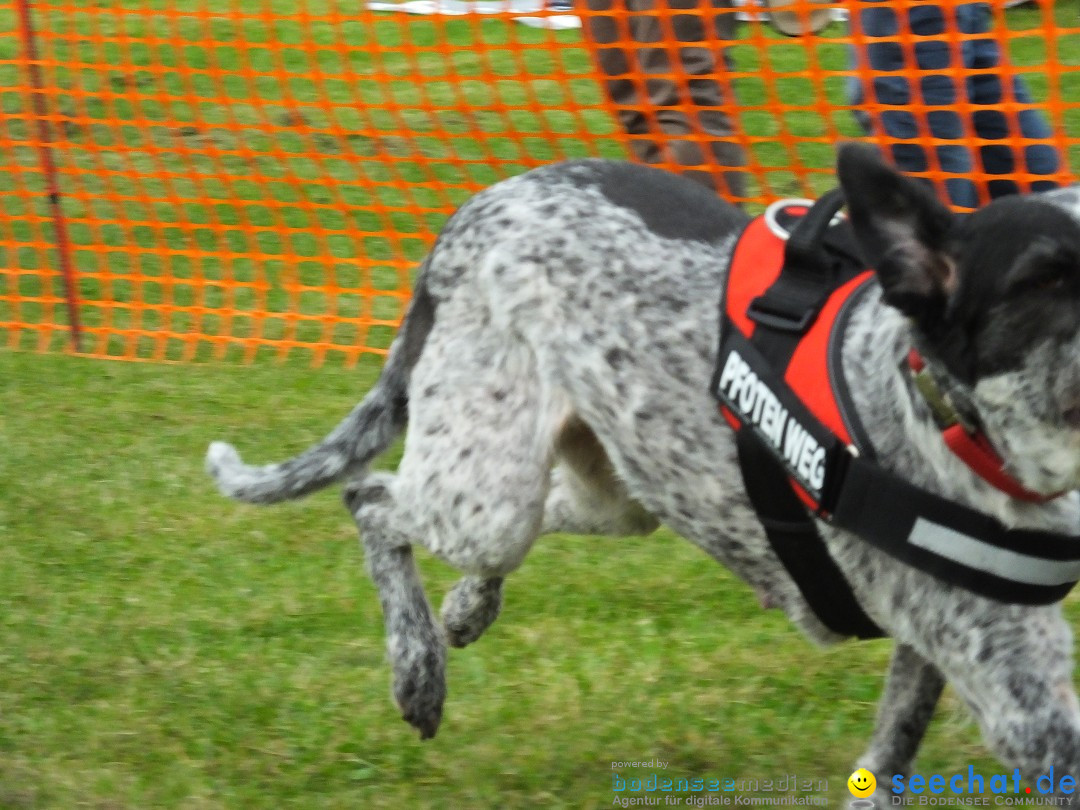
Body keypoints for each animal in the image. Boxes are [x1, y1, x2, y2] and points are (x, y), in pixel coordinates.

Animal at [206, 145, 1080, 810]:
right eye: (1044, 280)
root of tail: (478, 206)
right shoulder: (1023, 700)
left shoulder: (951, 647)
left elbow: (886, 758)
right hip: (488, 496)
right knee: (372, 497)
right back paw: (417, 668)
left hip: (611, 490)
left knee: (502, 520)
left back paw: (466, 608)